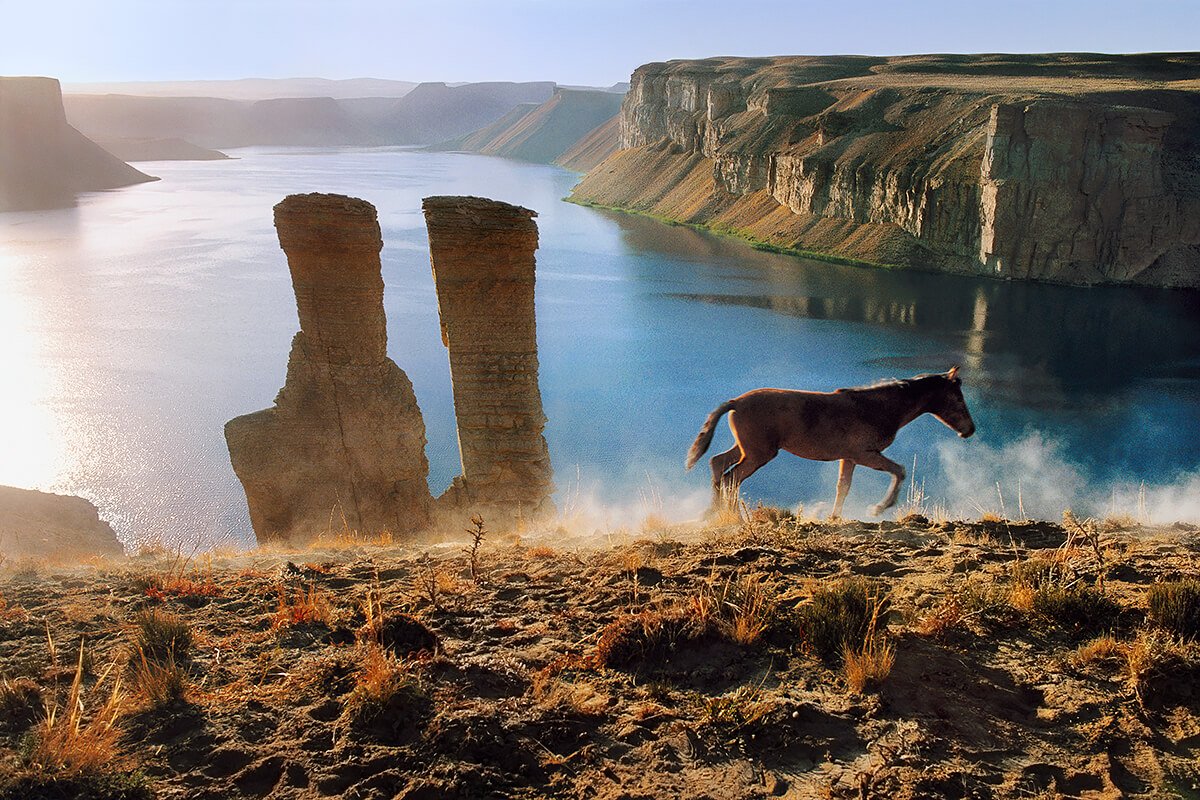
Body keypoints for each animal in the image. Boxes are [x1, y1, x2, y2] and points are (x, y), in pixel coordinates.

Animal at [686, 369, 974, 520]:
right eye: (958, 399)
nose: (969, 430)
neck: (877, 408)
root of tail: (735, 402)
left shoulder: (850, 457)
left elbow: (843, 487)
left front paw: (835, 517)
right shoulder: (865, 454)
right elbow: (899, 471)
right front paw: (878, 508)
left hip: (749, 448)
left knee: (718, 463)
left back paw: (713, 511)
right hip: (759, 453)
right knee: (732, 477)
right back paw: (733, 516)